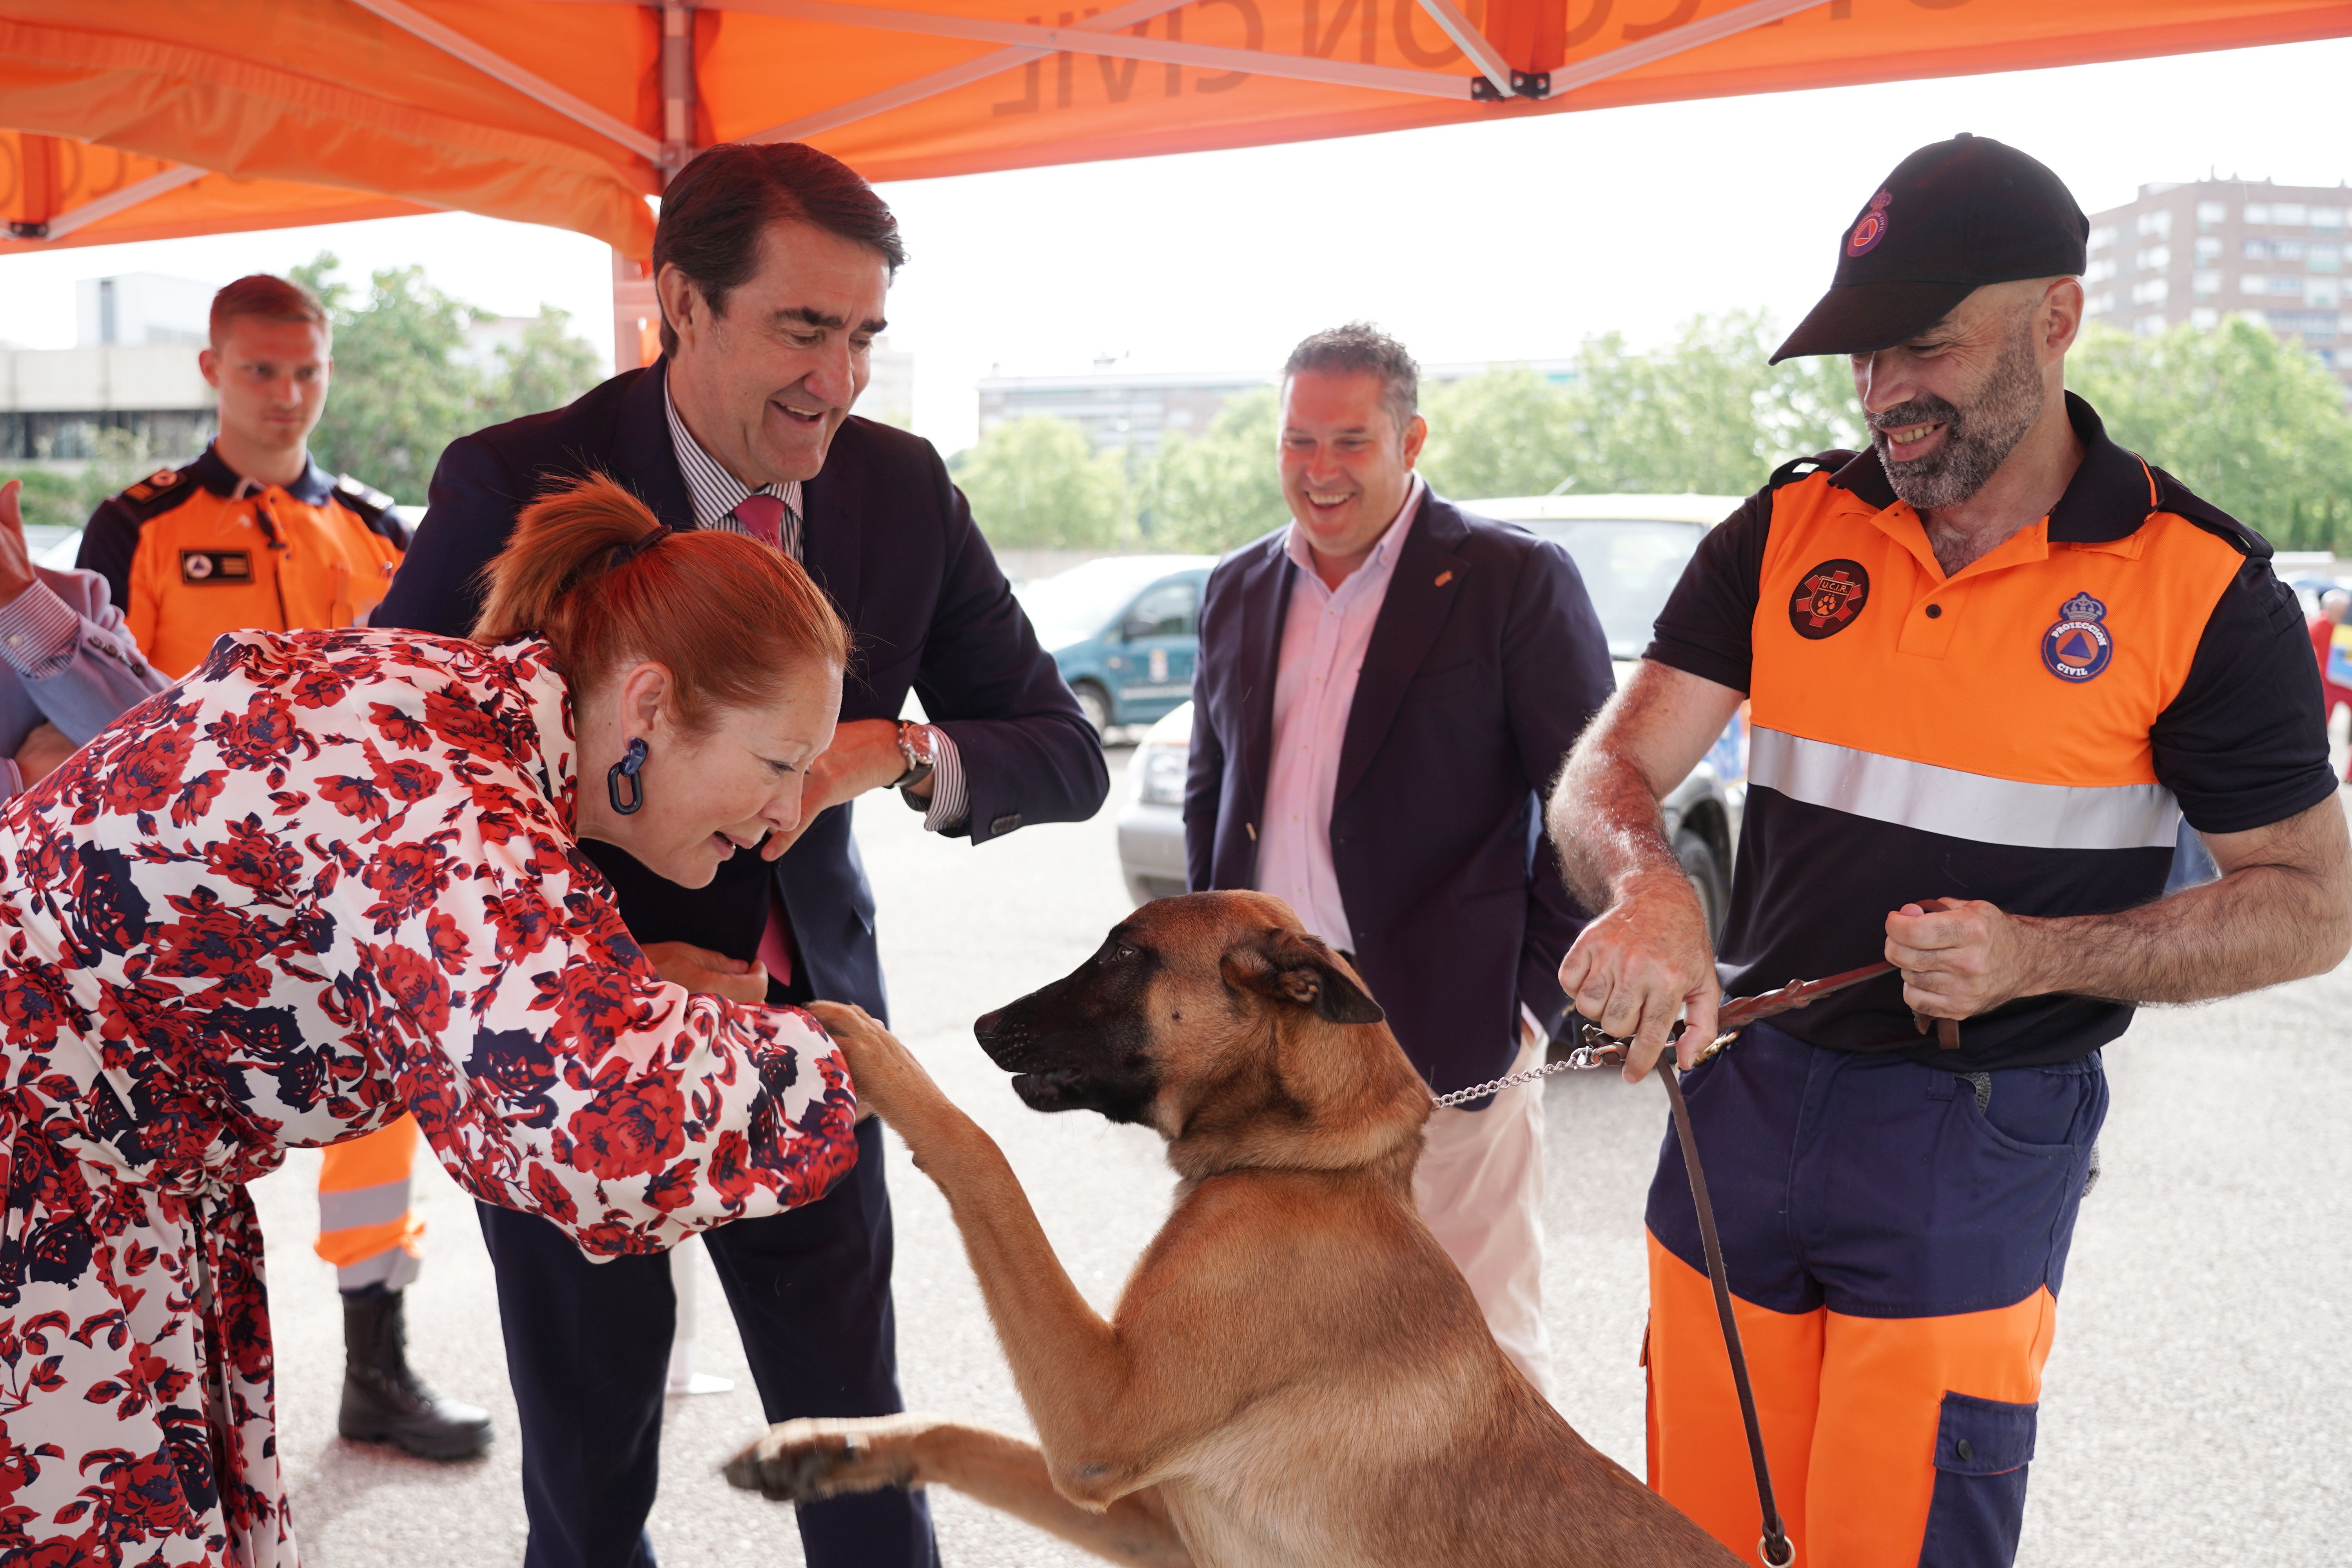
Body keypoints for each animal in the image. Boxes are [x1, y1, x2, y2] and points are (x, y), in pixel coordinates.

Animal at [724, 893, 1740, 1568]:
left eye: (1124, 955)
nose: (981, 1023)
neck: (1307, 1166)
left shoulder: (1099, 1419)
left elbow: (982, 1155)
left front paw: (877, 1052)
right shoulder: (1155, 1518)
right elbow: (963, 1434)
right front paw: (828, 1445)